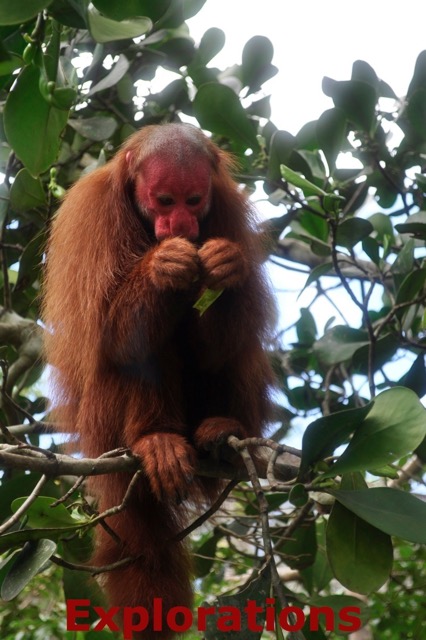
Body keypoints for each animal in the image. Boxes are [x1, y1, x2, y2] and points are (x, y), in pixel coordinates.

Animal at [42, 122, 276, 636]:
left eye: (193, 200)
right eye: (164, 201)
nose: (181, 228)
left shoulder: (225, 209)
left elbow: (219, 344)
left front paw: (226, 267)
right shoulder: (93, 215)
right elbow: (109, 336)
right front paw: (163, 268)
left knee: (235, 351)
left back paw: (223, 431)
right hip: (105, 425)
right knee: (141, 348)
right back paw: (157, 439)